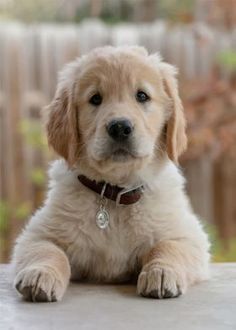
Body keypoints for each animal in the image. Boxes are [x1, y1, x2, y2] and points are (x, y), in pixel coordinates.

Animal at [12, 45, 209, 302]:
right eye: (95, 99)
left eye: (142, 96)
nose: (120, 127)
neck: (115, 194)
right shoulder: (36, 234)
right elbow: (48, 251)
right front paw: (40, 274)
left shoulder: (189, 235)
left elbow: (167, 247)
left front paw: (161, 272)